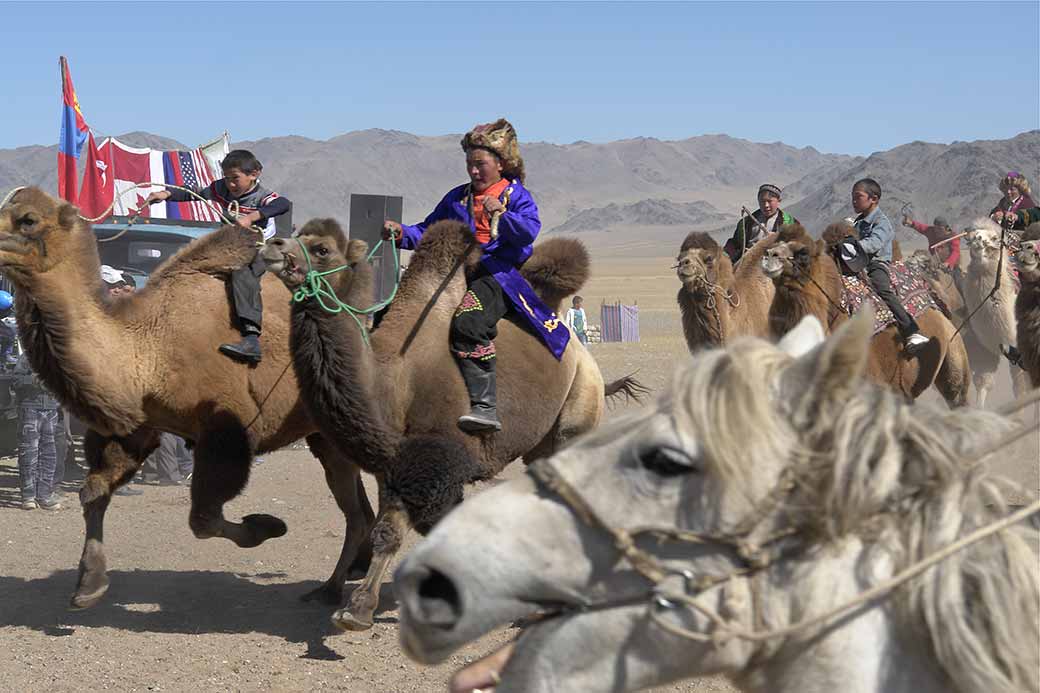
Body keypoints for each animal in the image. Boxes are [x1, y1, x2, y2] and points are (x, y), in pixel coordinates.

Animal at [0, 187, 374, 611]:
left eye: (28, 219)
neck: (148, 349)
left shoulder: (227, 431)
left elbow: (203, 519)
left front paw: (268, 526)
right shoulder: (135, 428)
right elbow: (92, 492)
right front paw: (89, 584)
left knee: (358, 510)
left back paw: (332, 588)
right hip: (324, 434)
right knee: (360, 507)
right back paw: (352, 571)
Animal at [262, 218, 632, 628]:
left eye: (323, 249)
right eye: (298, 233)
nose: (273, 245)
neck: (391, 377)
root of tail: (580, 351)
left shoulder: (434, 457)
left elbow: (393, 530)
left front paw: (356, 610)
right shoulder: (397, 463)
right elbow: (404, 526)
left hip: (578, 408)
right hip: (542, 443)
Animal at [960, 218, 1027, 405]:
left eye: (995, 238)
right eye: (971, 236)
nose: (977, 238)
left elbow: (1021, 389)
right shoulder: (988, 350)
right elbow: (983, 383)